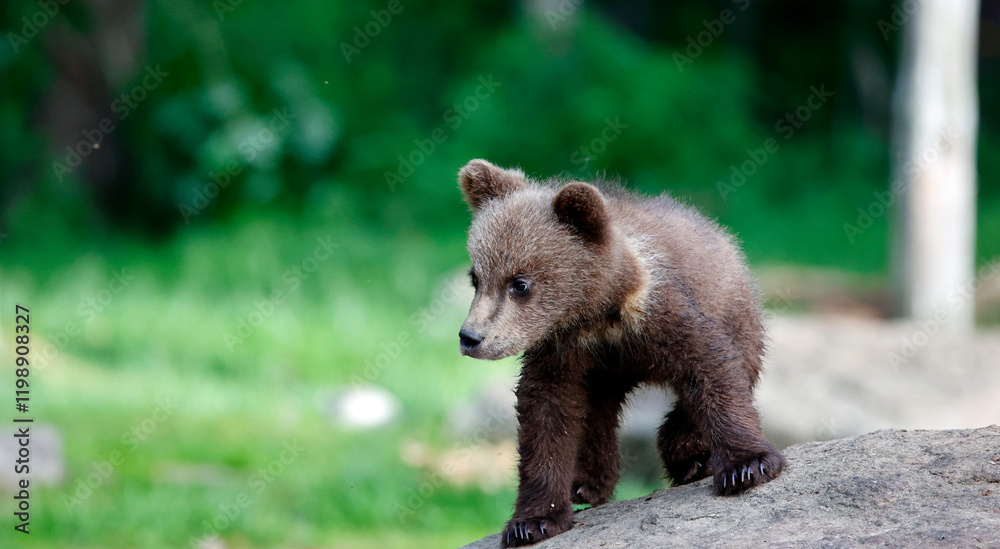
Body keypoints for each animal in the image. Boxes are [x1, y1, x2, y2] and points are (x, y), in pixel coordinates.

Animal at [456, 159, 787, 547]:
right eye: (476, 277)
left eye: (520, 283)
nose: (470, 337)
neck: (600, 316)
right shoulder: (564, 353)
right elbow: (546, 418)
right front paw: (533, 521)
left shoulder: (665, 318)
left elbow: (711, 370)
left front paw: (747, 465)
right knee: (596, 413)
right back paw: (587, 481)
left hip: (738, 312)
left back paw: (689, 454)